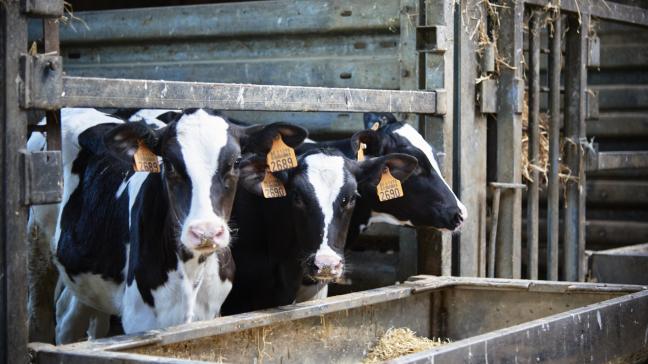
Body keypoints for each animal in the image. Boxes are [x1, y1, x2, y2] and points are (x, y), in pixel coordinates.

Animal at [52, 107, 306, 342]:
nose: (206, 232)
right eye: (169, 164)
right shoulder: (139, 320)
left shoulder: (210, 314)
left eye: (236, 162)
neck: (192, 272)